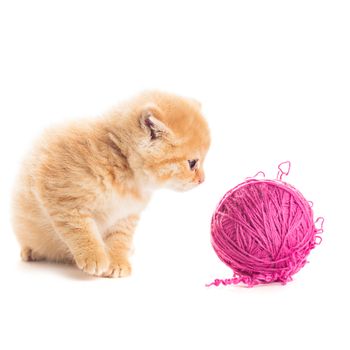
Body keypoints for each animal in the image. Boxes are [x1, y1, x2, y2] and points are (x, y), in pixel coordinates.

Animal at [11, 91, 211, 278]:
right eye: (192, 163)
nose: (202, 180)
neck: (123, 165)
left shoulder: (126, 215)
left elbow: (119, 239)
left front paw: (118, 262)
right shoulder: (64, 198)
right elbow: (81, 230)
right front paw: (94, 256)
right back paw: (30, 251)